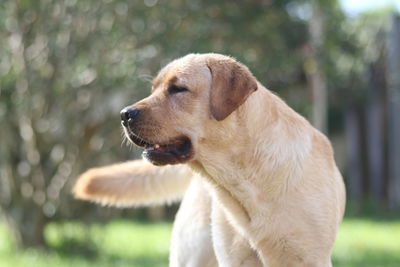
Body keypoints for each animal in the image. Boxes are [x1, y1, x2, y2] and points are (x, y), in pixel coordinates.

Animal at [73, 53, 346, 266]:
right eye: (154, 90)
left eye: (178, 88)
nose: (124, 114)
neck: (246, 178)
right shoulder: (235, 260)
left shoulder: (310, 257)